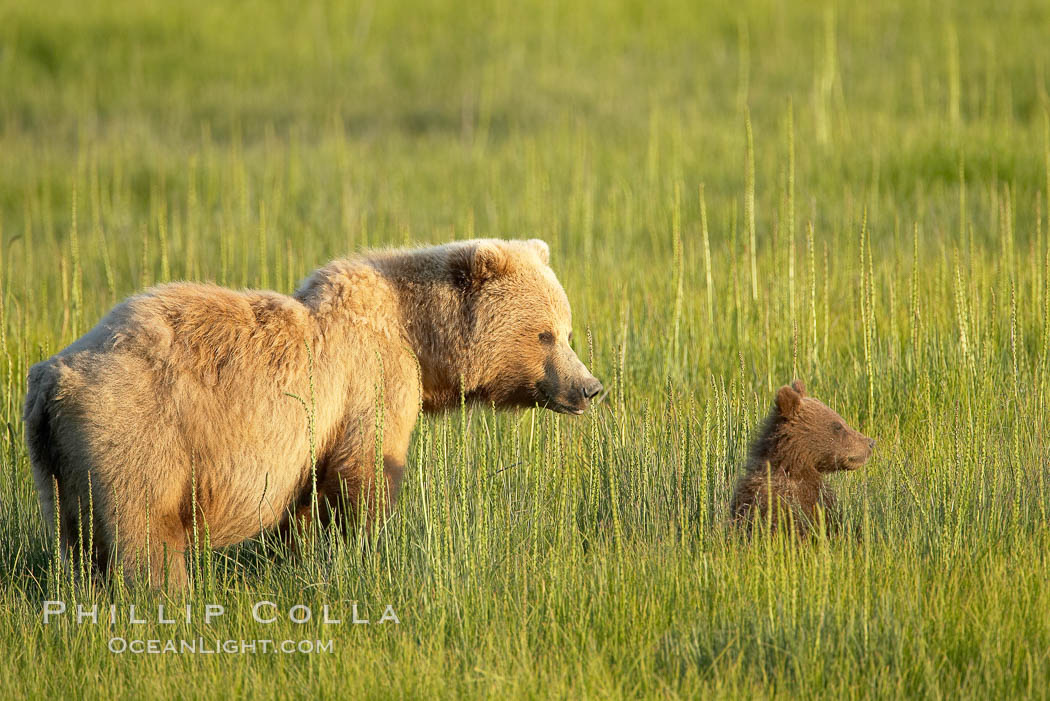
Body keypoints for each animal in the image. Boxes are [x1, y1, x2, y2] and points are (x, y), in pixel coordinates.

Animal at [24, 238, 600, 587]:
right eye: (545, 334)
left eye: (567, 331)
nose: (590, 388)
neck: (419, 337)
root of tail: (52, 377)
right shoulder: (369, 378)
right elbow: (366, 470)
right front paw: (371, 549)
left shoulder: (312, 438)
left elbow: (305, 505)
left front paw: (302, 560)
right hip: (137, 428)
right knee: (145, 529)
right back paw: (167, 596)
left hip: (61, 463)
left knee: (78, 542)